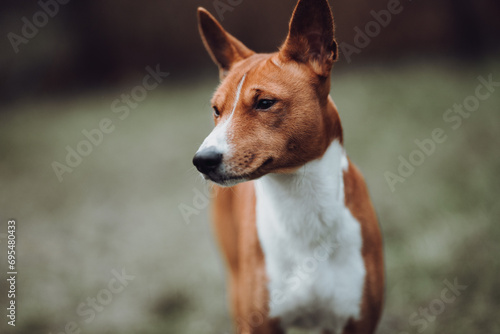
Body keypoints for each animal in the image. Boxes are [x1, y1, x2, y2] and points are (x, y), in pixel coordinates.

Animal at [193, 0, 384, 332]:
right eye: (216, 110)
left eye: (265, 103)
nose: (202, 160)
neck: (302, 206)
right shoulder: (258, 324)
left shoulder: (359, 321)